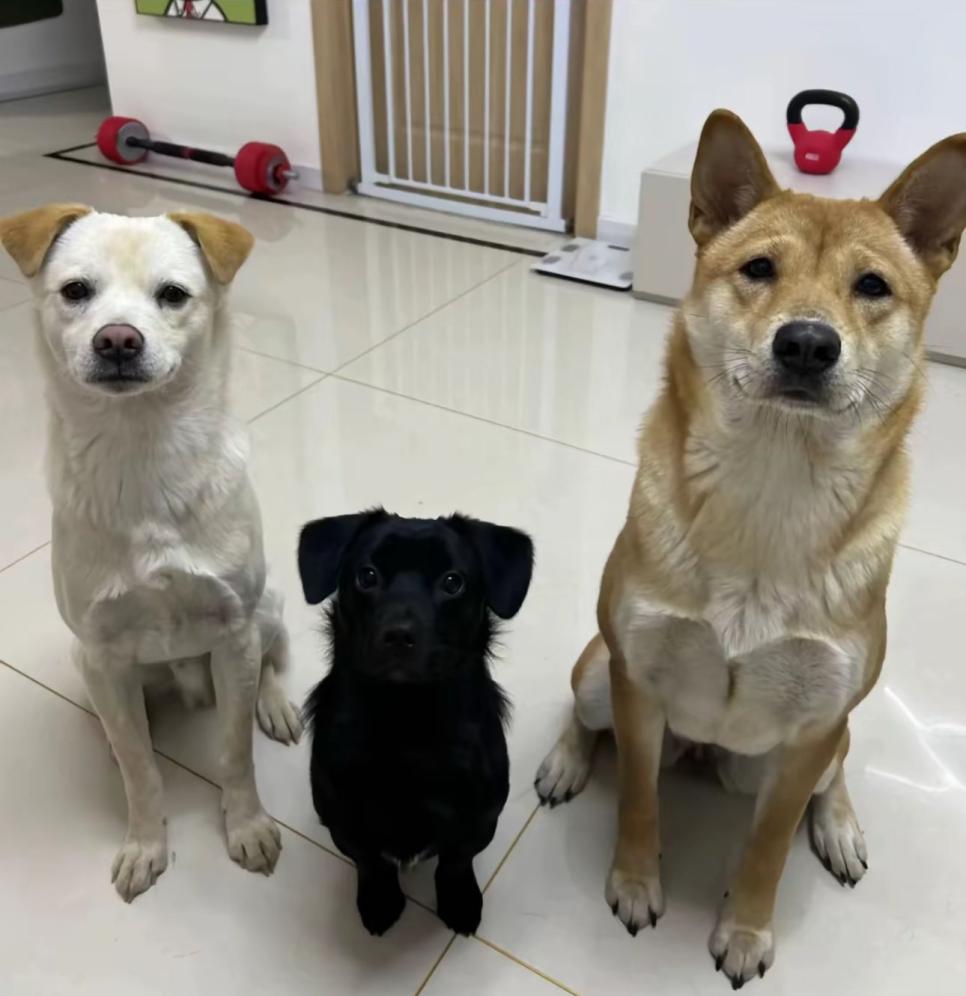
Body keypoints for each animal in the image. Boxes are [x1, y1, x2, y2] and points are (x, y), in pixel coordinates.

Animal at [0, 205, 302, 901]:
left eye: (172, 295)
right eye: (75, 291)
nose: (117, 341)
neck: (141, 445)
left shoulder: (234, 631)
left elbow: (234, 751)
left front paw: (247, 826)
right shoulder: (104, 653)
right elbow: (140, 768)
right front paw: (145, 843)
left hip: (267, 606)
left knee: (273, 662)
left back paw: (274, 705)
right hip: (85, 662)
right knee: (122, 729)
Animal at [298, 509, 533, 936]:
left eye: (453, 582)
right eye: (367, 576)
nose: (398, 635)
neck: (407, 722)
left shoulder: (480, 821)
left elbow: (455, 862)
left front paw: (459, 900)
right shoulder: (344, 824)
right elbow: (371, 863)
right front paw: (379, 901)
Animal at [535, 110, 966, 987]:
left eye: (873, 287)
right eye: (759, 269)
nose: (806, 344)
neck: (773, 484)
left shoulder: (810, 733)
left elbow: (768, 845)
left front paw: (745, 929)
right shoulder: (638, 685)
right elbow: (637, 797)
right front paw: (636, 880)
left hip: (812, 744)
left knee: (836, 773)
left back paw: (838, 827)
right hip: (601, 671)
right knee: (581, 708)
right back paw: (564, 761)